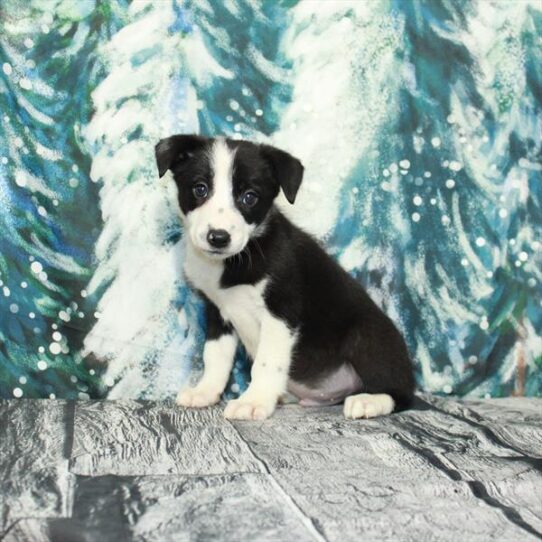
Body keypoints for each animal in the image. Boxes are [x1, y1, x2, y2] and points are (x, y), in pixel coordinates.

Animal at [157, 135, 416, 420]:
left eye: (250, 197)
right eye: (200, 189)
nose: (218, 237)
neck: (236, 260)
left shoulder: (281, 312)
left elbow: (266, 362)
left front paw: (254, 400)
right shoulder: (217, 312)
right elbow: (215, 356)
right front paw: (205, 392)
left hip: (369, 336)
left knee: (402, 395)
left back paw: (369, 401)